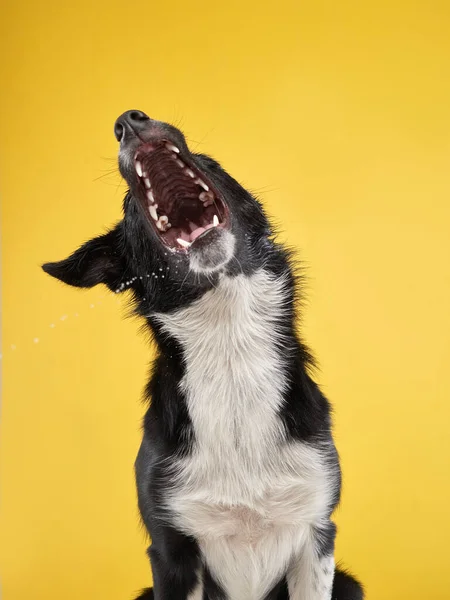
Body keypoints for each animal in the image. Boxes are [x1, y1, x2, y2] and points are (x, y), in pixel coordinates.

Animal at [44, 110, 364, 596]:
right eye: (127, 205)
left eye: (211, 162)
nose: (128, 121)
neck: (229, 346)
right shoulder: (171, 550)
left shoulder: (317, 533)